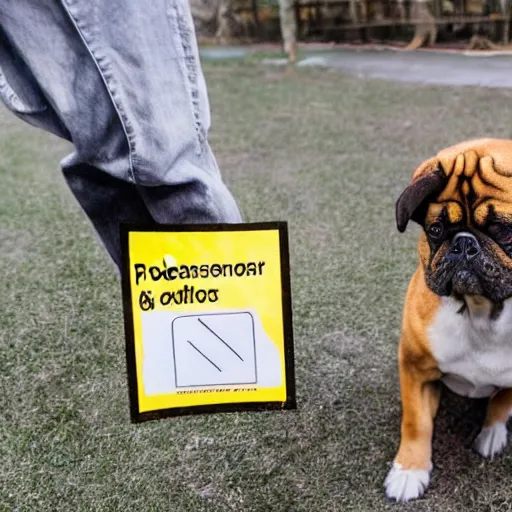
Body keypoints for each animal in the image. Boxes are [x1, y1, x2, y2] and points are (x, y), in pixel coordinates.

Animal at [386, 139, 512, 500]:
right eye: (436, 229)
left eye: (504, 231)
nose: (464, 243)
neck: (479, 310)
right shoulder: (414, 369)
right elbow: (416, 422)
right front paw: (409, 470)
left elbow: (503, 399)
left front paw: (492, 432)